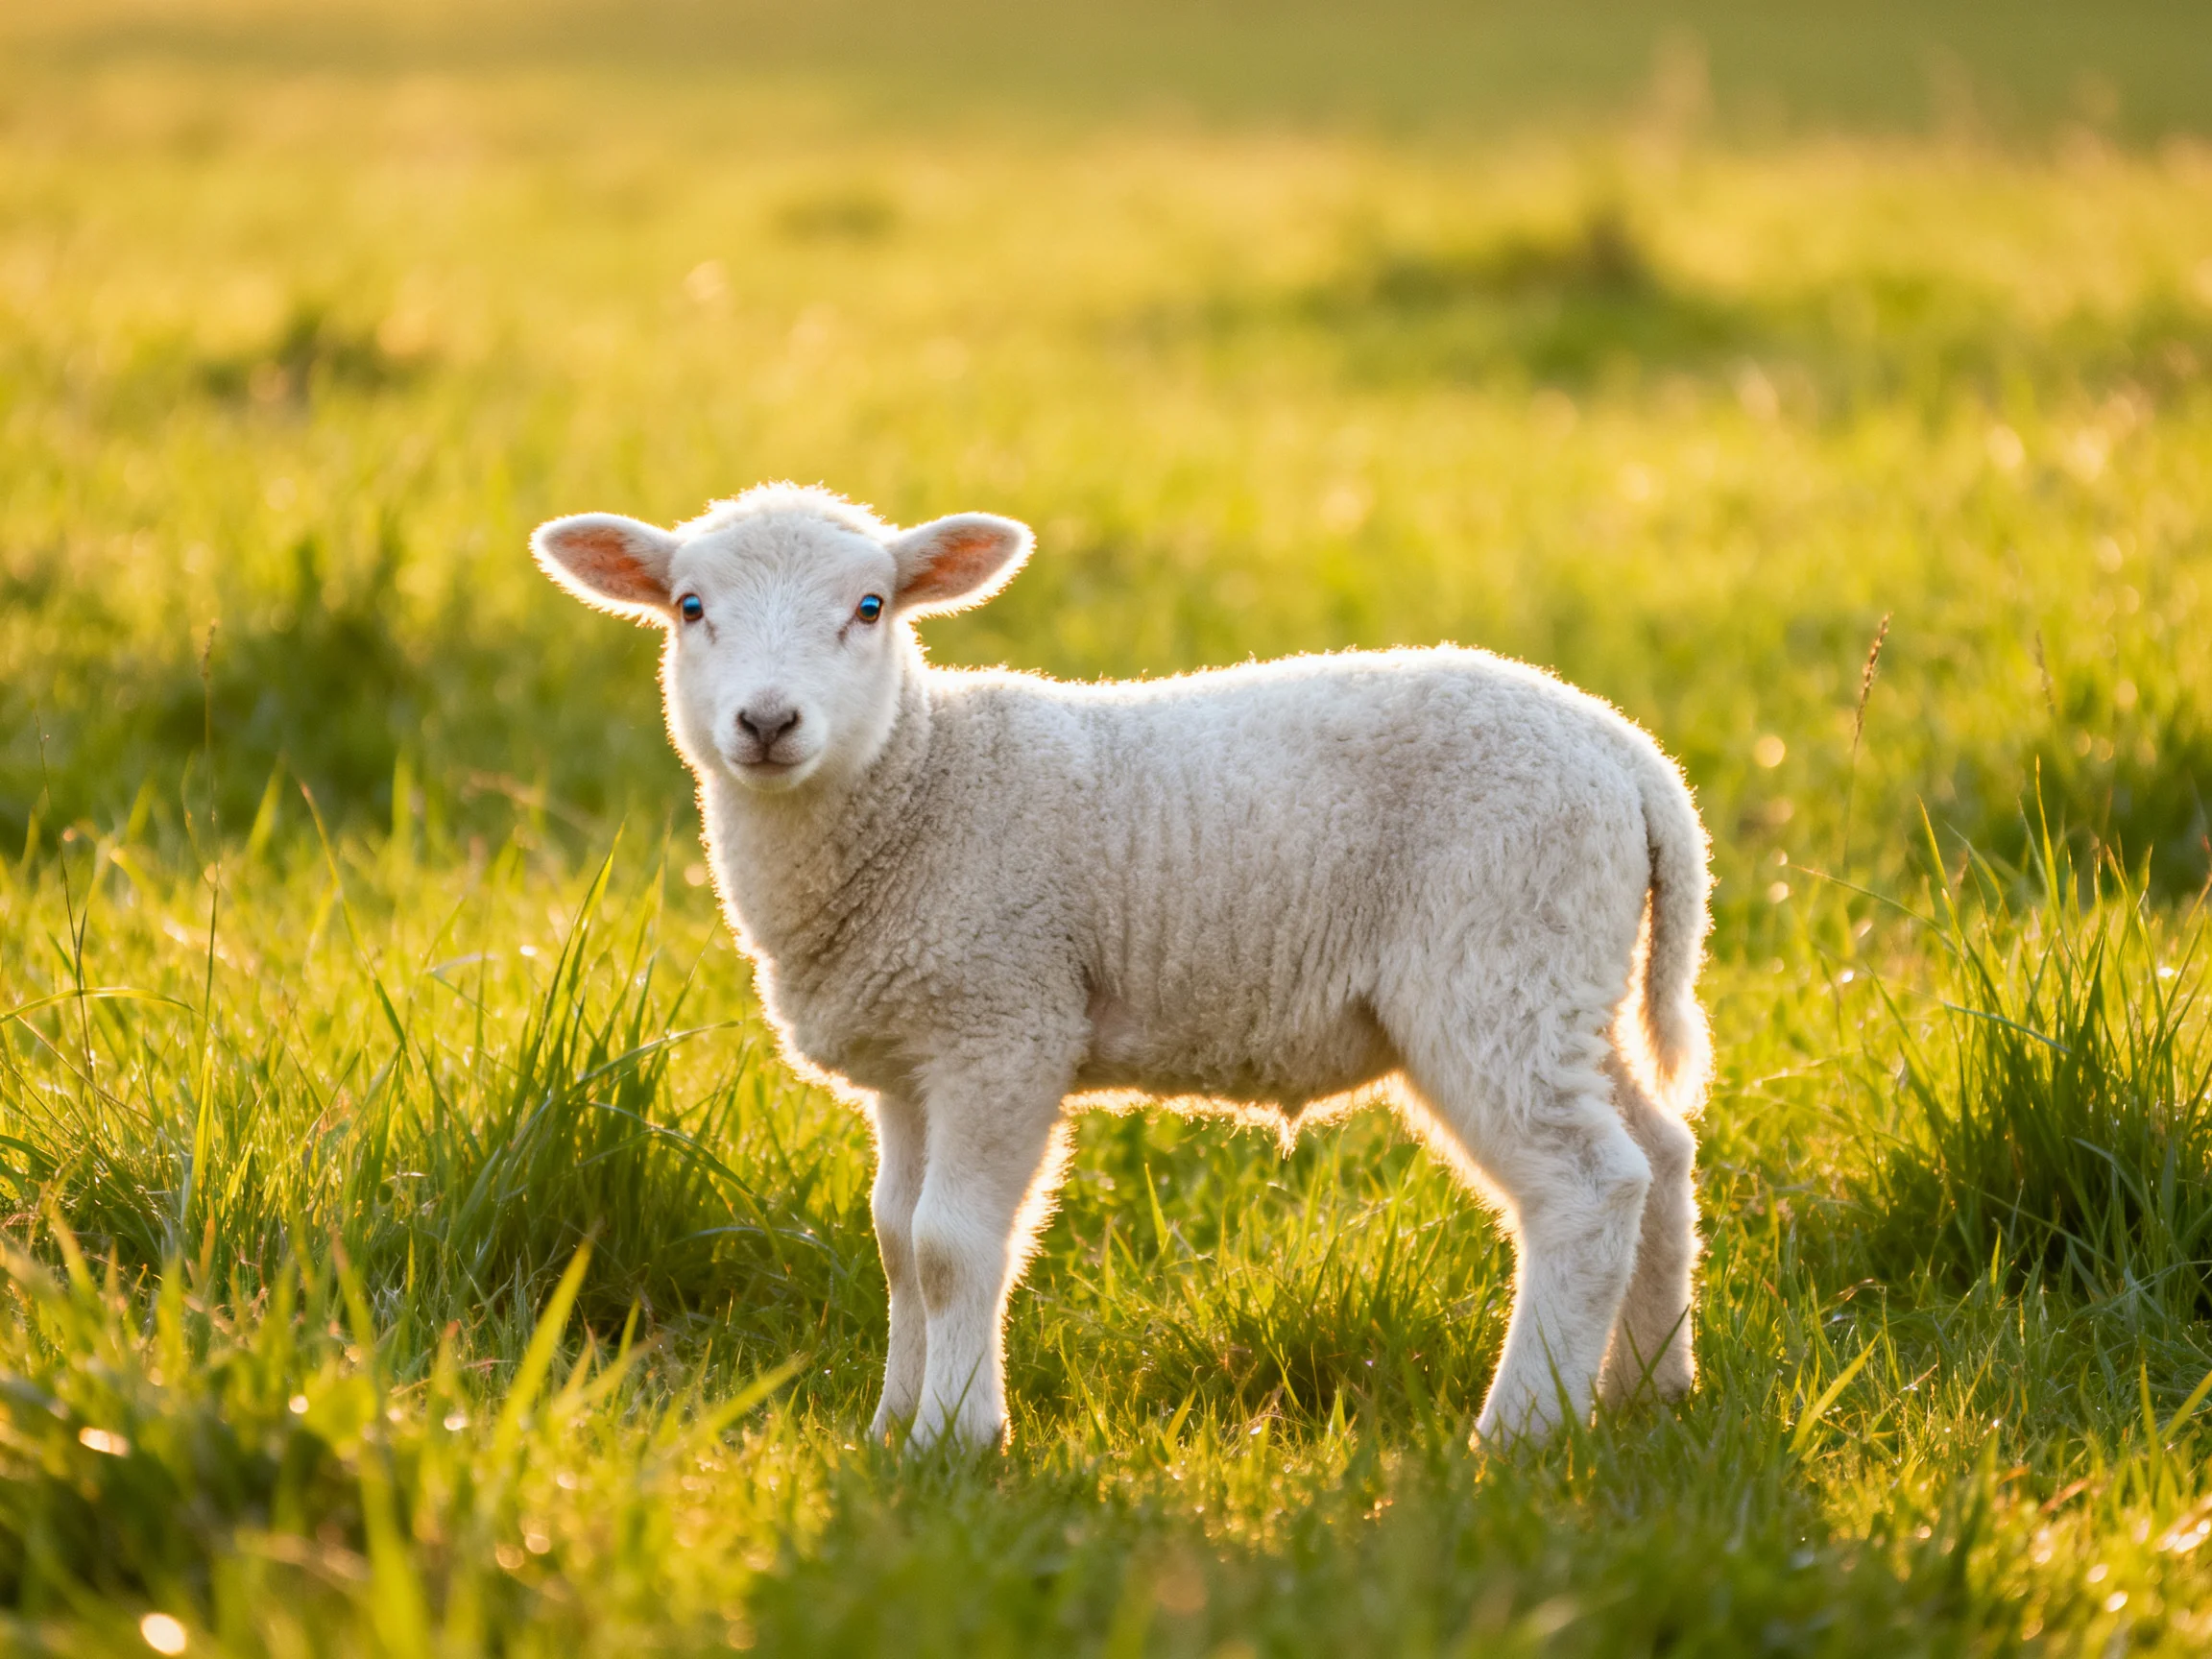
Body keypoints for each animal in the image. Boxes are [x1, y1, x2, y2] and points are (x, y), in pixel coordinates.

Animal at [531, 482, 1713, 1451]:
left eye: (870, 608)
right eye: (690, 607)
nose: (768, 721)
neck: (919, 786)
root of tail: (1632, 758)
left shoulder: (1004, 1021)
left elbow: (953, 1245)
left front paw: (955, 1440)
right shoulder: (913, 1055)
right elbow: (896, 1242)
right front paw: (889, 1425)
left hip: (1495, 962)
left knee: (1587, 1186)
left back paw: (1523, 1429)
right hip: (1563, 977)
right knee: (1658, 1155)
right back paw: (1649, 1393)